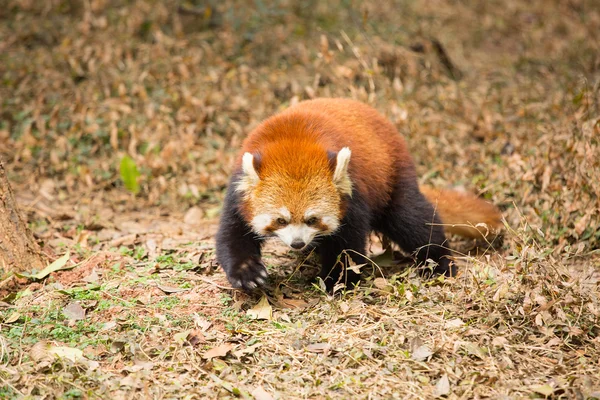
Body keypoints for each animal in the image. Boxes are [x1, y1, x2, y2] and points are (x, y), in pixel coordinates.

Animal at [216, 97, 502, 290]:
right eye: (280, 220)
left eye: (312, 219)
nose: (297, 243)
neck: (292, 141)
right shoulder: (238, 192)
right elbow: (232, 235)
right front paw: (247, 272)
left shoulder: (353, 192)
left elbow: (348, 243)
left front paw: (337, 279)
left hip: (393, 175)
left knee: (413, 220)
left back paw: (439, 263)